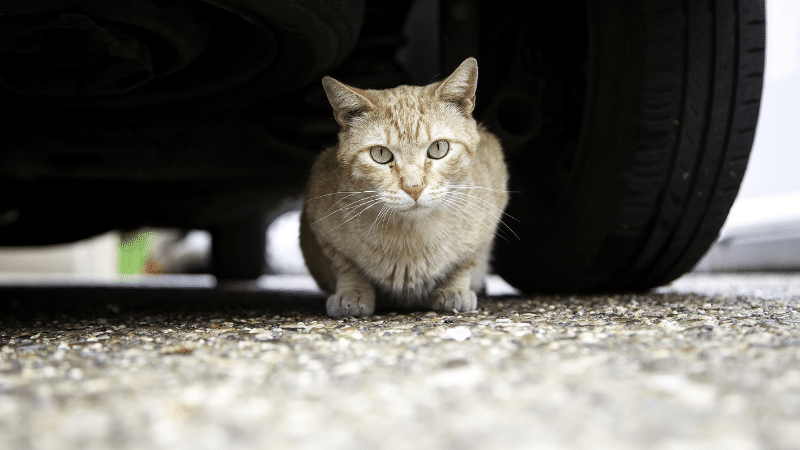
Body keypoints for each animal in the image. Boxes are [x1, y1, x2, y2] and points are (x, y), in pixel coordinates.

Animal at [296, 57, 510, 316]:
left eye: (438, 148)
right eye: (380, 154)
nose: (414, 187)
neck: (411, 239)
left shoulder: (491, 209)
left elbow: (466, 261)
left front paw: (453, 289)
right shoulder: (318, 218)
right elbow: (346, 267)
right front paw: (352, 293)